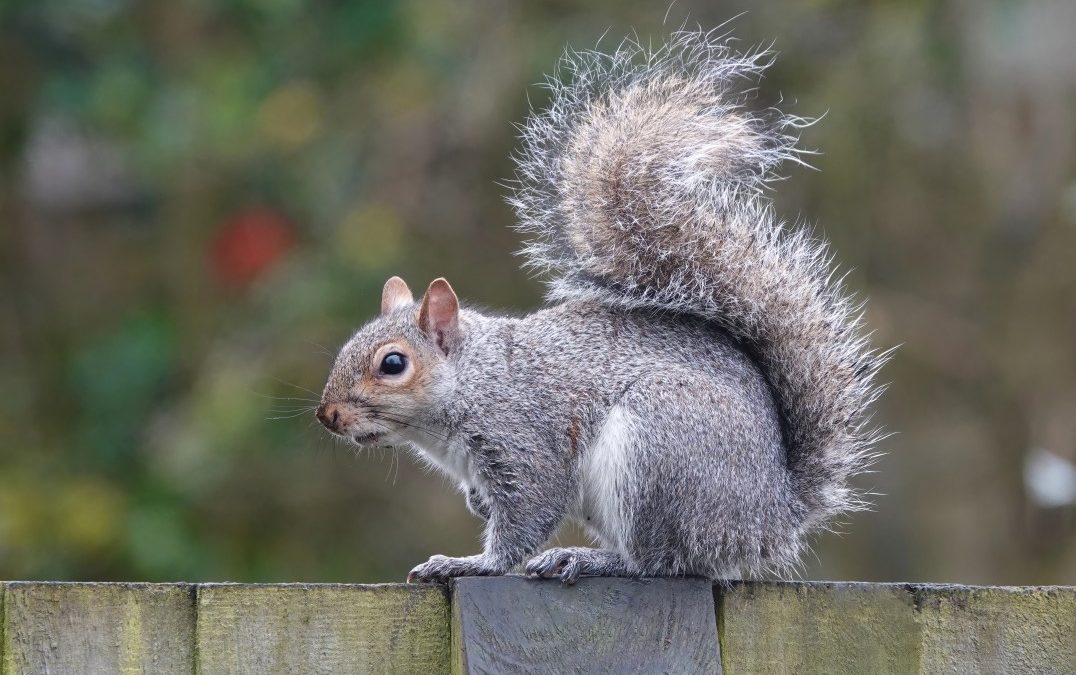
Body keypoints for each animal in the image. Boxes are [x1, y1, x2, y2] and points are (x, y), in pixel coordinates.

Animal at [316, 30, 887, 584]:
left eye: (393, 364)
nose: (327, 416)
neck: (474, 381)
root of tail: (772, 518)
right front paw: (476, 509)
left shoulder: (526, 442)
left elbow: (528, 517)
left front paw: (472, 563)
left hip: (660, 448)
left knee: (663, 561)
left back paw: (592, 560)